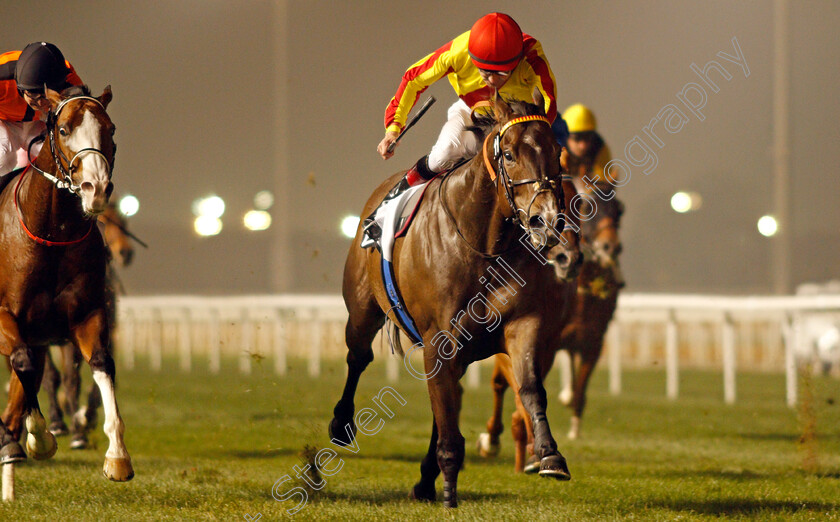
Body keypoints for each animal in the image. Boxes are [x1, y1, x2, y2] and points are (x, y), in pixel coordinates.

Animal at [41, 200, 138, 446]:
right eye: (102, 221)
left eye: (125, 222)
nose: (125, 253)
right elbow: (53, 377)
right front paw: (60, 423)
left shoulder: (101, 331)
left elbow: (82, 379)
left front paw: (83, 422)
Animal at [332, 95, 580, 506]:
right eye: (508, 154)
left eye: (557, 152)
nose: (546, 219)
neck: (484, 244)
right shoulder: (439, 338)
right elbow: (445, 408)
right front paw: (449, 488)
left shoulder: (523, 324)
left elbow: (528, 387)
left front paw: (549, 455)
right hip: (363, 308)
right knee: (358, 357)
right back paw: (341, 424)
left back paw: (426, 477)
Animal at [480, 189, 624, 470]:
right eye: (590, 208)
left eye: (618, 210)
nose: (610, 247)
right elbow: (516, 388)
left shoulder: (589, 341)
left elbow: (574, 391)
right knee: (498, 384)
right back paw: (494, 441)